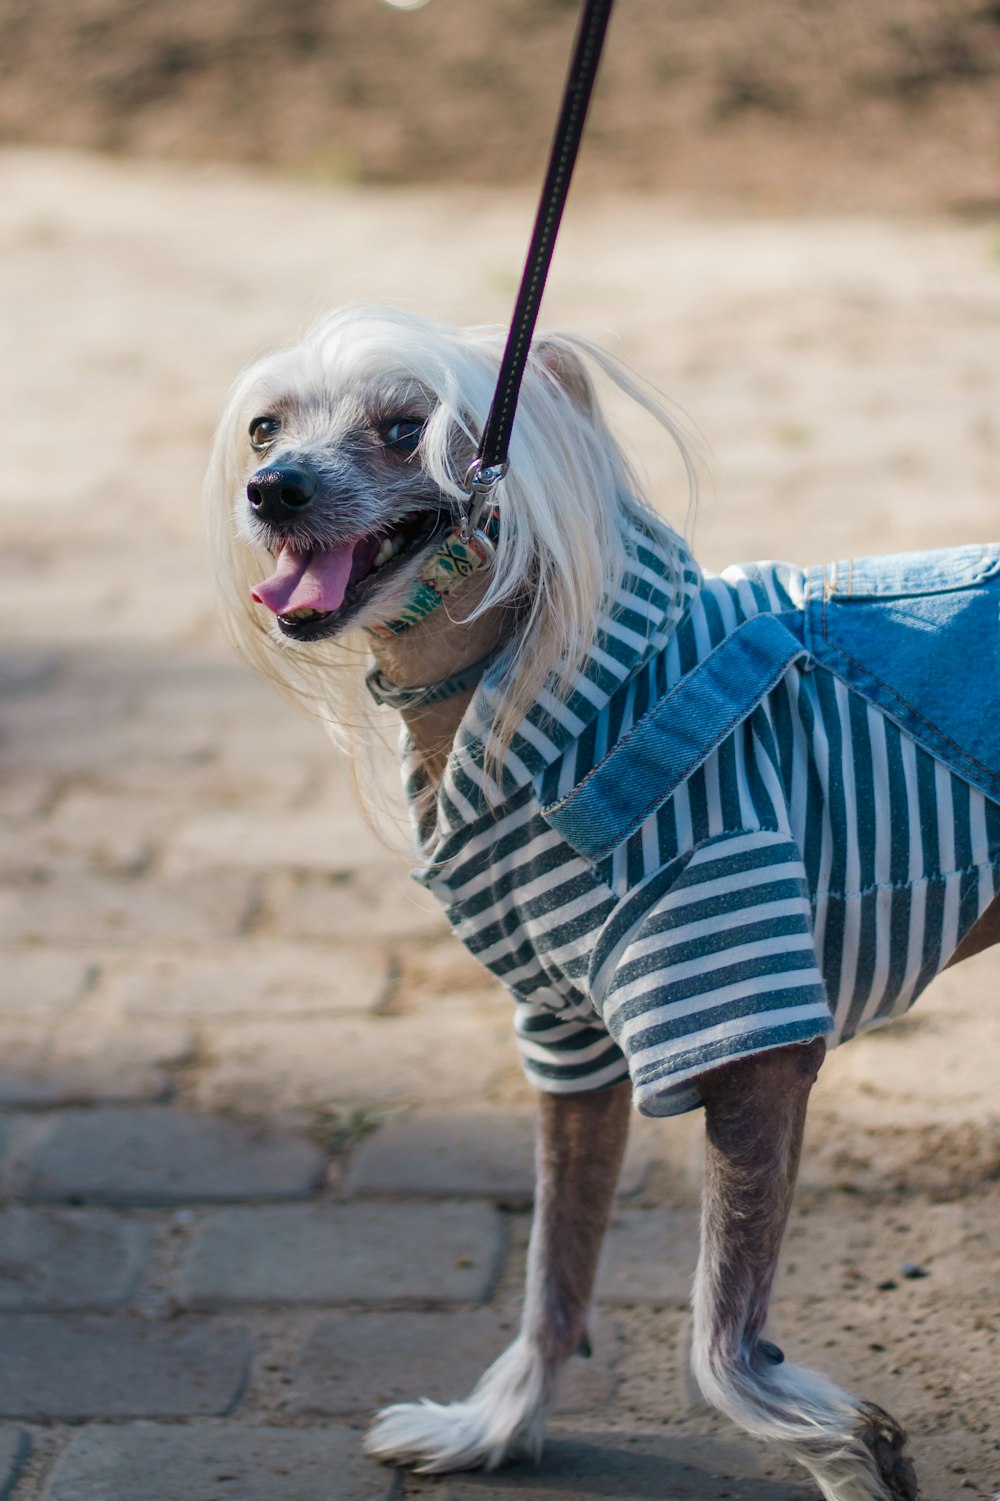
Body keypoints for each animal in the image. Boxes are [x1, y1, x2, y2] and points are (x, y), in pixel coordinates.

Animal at [204, 304, 996, 1501]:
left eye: (404, 430)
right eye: (264, 429)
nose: (274, 490)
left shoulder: (743, 1031)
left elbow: (719, 1337)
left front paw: (848, 1449)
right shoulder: (568, 1039)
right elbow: (554, 1269)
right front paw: (494, 1427)